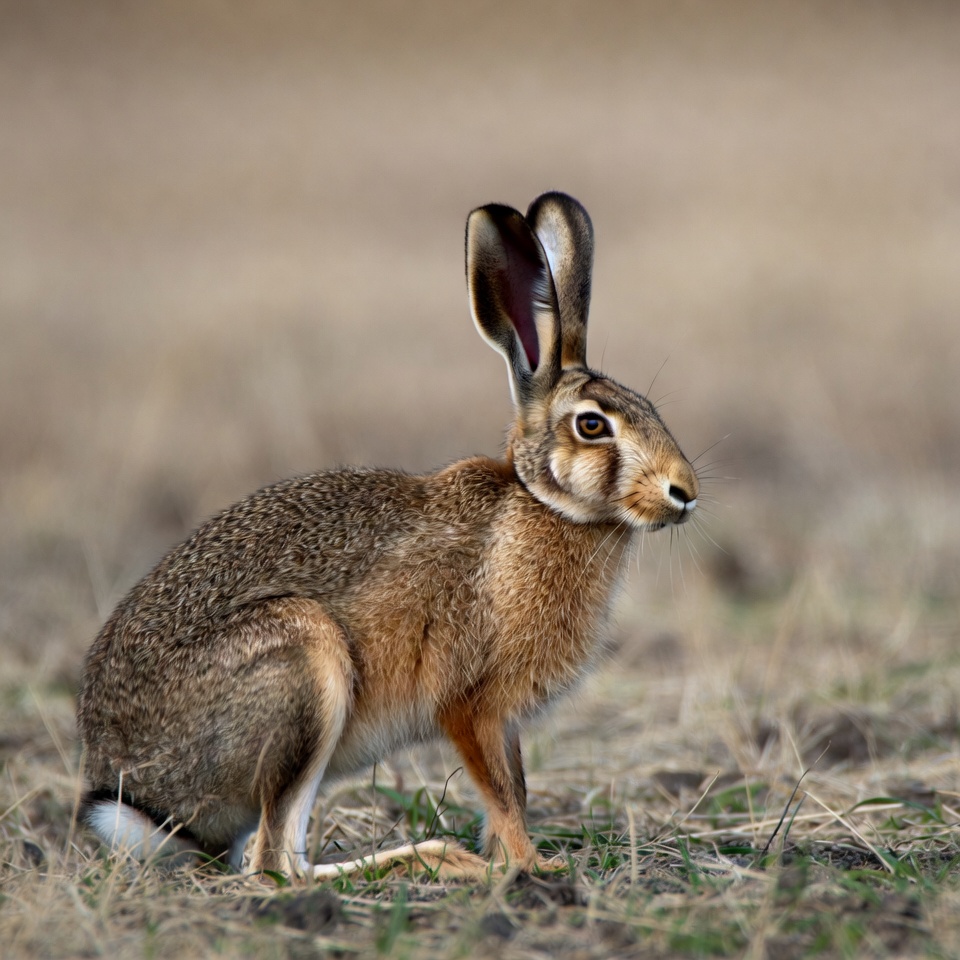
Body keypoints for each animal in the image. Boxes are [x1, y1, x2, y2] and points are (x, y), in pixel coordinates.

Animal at [76, 191, 699, 880]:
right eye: (592, 426)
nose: (684, 492)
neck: (543, 505)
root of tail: (136, 796)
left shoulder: (503, 720)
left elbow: (514, 788)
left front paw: (514, 857)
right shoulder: (470, 702)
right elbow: (502, 793)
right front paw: (531, 867)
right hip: (304, 669)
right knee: (276, 864)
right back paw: (441, 859)